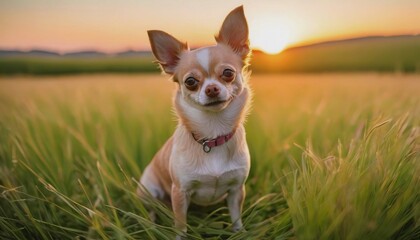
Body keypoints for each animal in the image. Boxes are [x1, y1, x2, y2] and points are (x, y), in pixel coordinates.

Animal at [139, 5, 253, 238]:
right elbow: (180, 224)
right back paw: (152, 225)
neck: (213, 133)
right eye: (190, 81)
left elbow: (236, 217)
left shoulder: (237, 189)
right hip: (148, 190)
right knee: (151, 210)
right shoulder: (180, 192)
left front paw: (240, 232)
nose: (211, 89)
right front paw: (180, 236)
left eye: (228, 73)